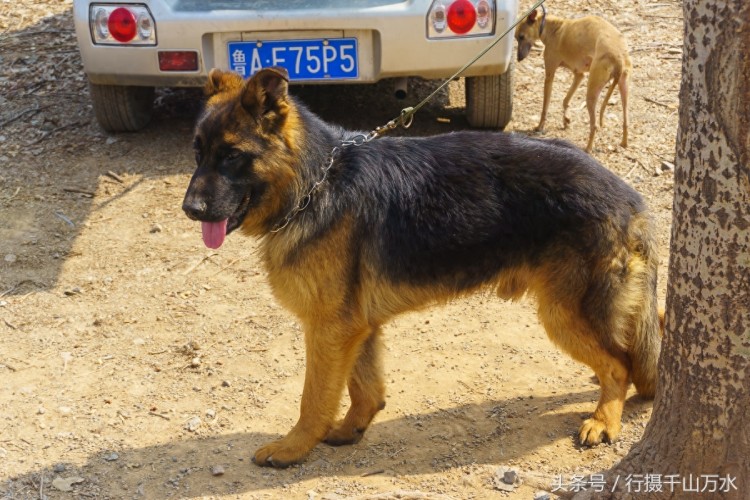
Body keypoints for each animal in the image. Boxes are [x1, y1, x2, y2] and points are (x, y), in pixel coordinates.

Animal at [182, 67, 664, 468]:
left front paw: (294, 447)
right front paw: (351, 428)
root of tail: (629, 196)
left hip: (562, 314)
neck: (315, 181)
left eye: (232, 156)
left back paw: (604, 419)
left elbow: (314, 398)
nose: (190, 210)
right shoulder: (355, 327)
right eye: (198, 152)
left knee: (620, 365)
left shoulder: (329, 328)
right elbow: (364, 388)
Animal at [516, 8, 636, 152]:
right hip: (624, 88)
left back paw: (588, 149)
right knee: (626, 121)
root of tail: (618, 57)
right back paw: (624, 143)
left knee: (594, 125)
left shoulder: (550, 74)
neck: (554, 28)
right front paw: (566, 120)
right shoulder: (579, 75)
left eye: (521, 37)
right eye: (516, 38)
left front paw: (540, 127)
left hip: (592, 92)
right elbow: (566, 100)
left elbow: (545, 107)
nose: (518, 58)